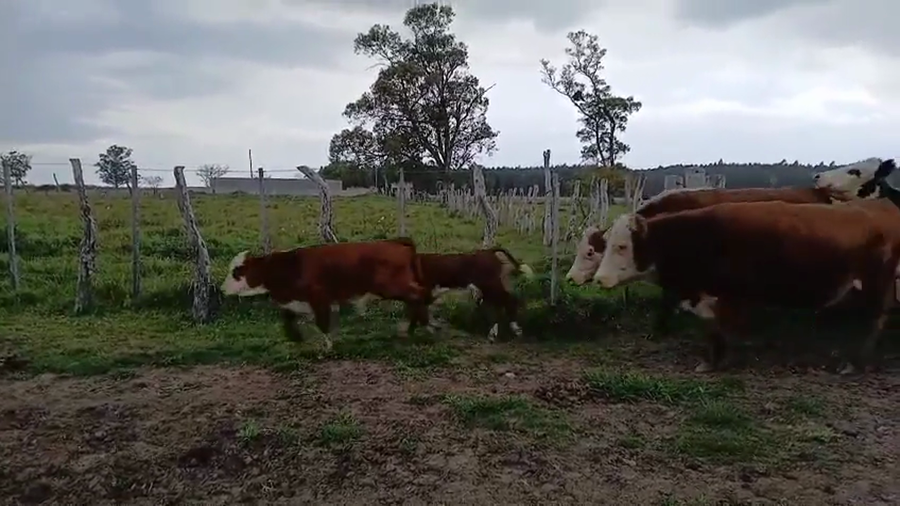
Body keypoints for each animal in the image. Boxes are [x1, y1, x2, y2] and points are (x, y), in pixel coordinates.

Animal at [220, 238, 429, 352]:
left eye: (236, 271)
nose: (221, 289)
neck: (291, 266)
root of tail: (396, 242)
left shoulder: (319, 299)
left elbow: (322, 323)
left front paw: (328, 346)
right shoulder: (299, 301)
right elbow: (288, 318)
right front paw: (296, 337)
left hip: (392, 286)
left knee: (420, 295)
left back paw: (422, 326)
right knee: (415, 300)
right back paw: (412, 328)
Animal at [592, 200, 900, 375]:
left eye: (622, 247)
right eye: (606, 245)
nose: (599, 278)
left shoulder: (724, 296)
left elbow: (718, 328)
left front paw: (715, 361)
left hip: (874, 286)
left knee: (873, 320)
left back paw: (854, 363)